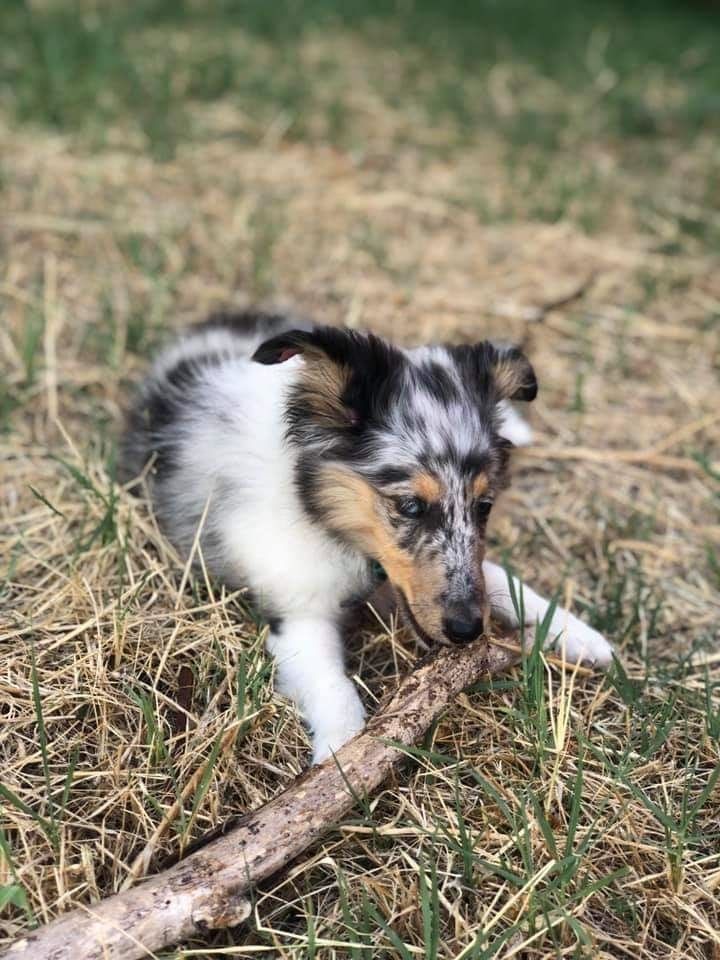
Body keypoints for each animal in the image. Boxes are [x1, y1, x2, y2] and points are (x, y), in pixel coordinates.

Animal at [122, 312, 612, 760]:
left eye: (484, 507)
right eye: (411, 506)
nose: (468, 630)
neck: (314, 502)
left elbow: (499, 576)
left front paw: (579, 633)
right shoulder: (298, 614)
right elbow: (331, 684)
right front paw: (341, 758)